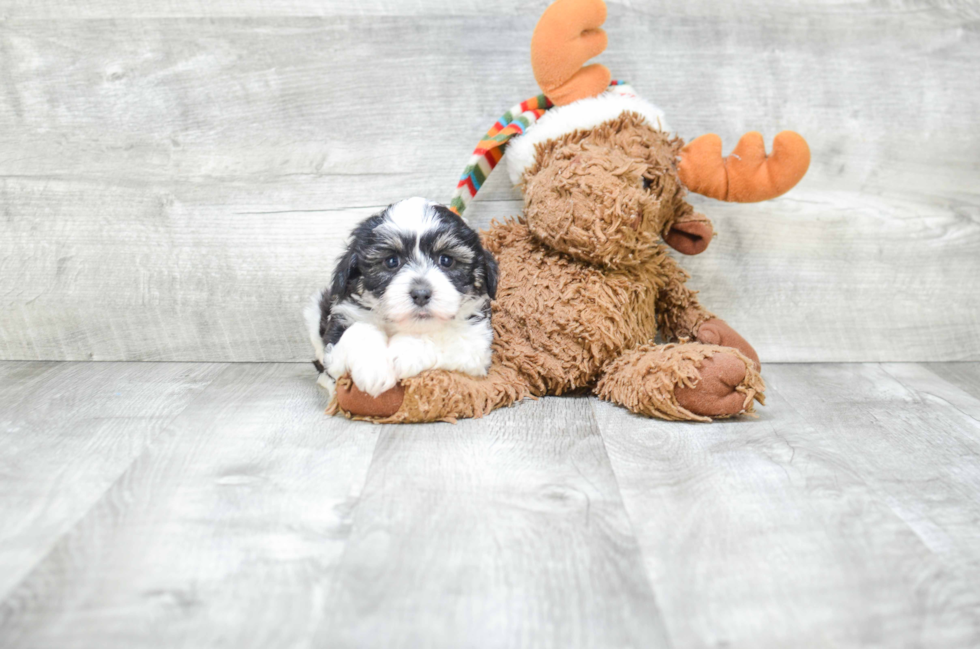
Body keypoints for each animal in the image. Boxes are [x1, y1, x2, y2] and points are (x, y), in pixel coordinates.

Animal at [302, 196, 498, 400]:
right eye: (391, 261)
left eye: (446, 260)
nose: (421, 294)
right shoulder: (337, 340)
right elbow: (359, 331)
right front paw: (373, 369)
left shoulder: (477, 348)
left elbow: (446, 336)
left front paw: (406, 351)